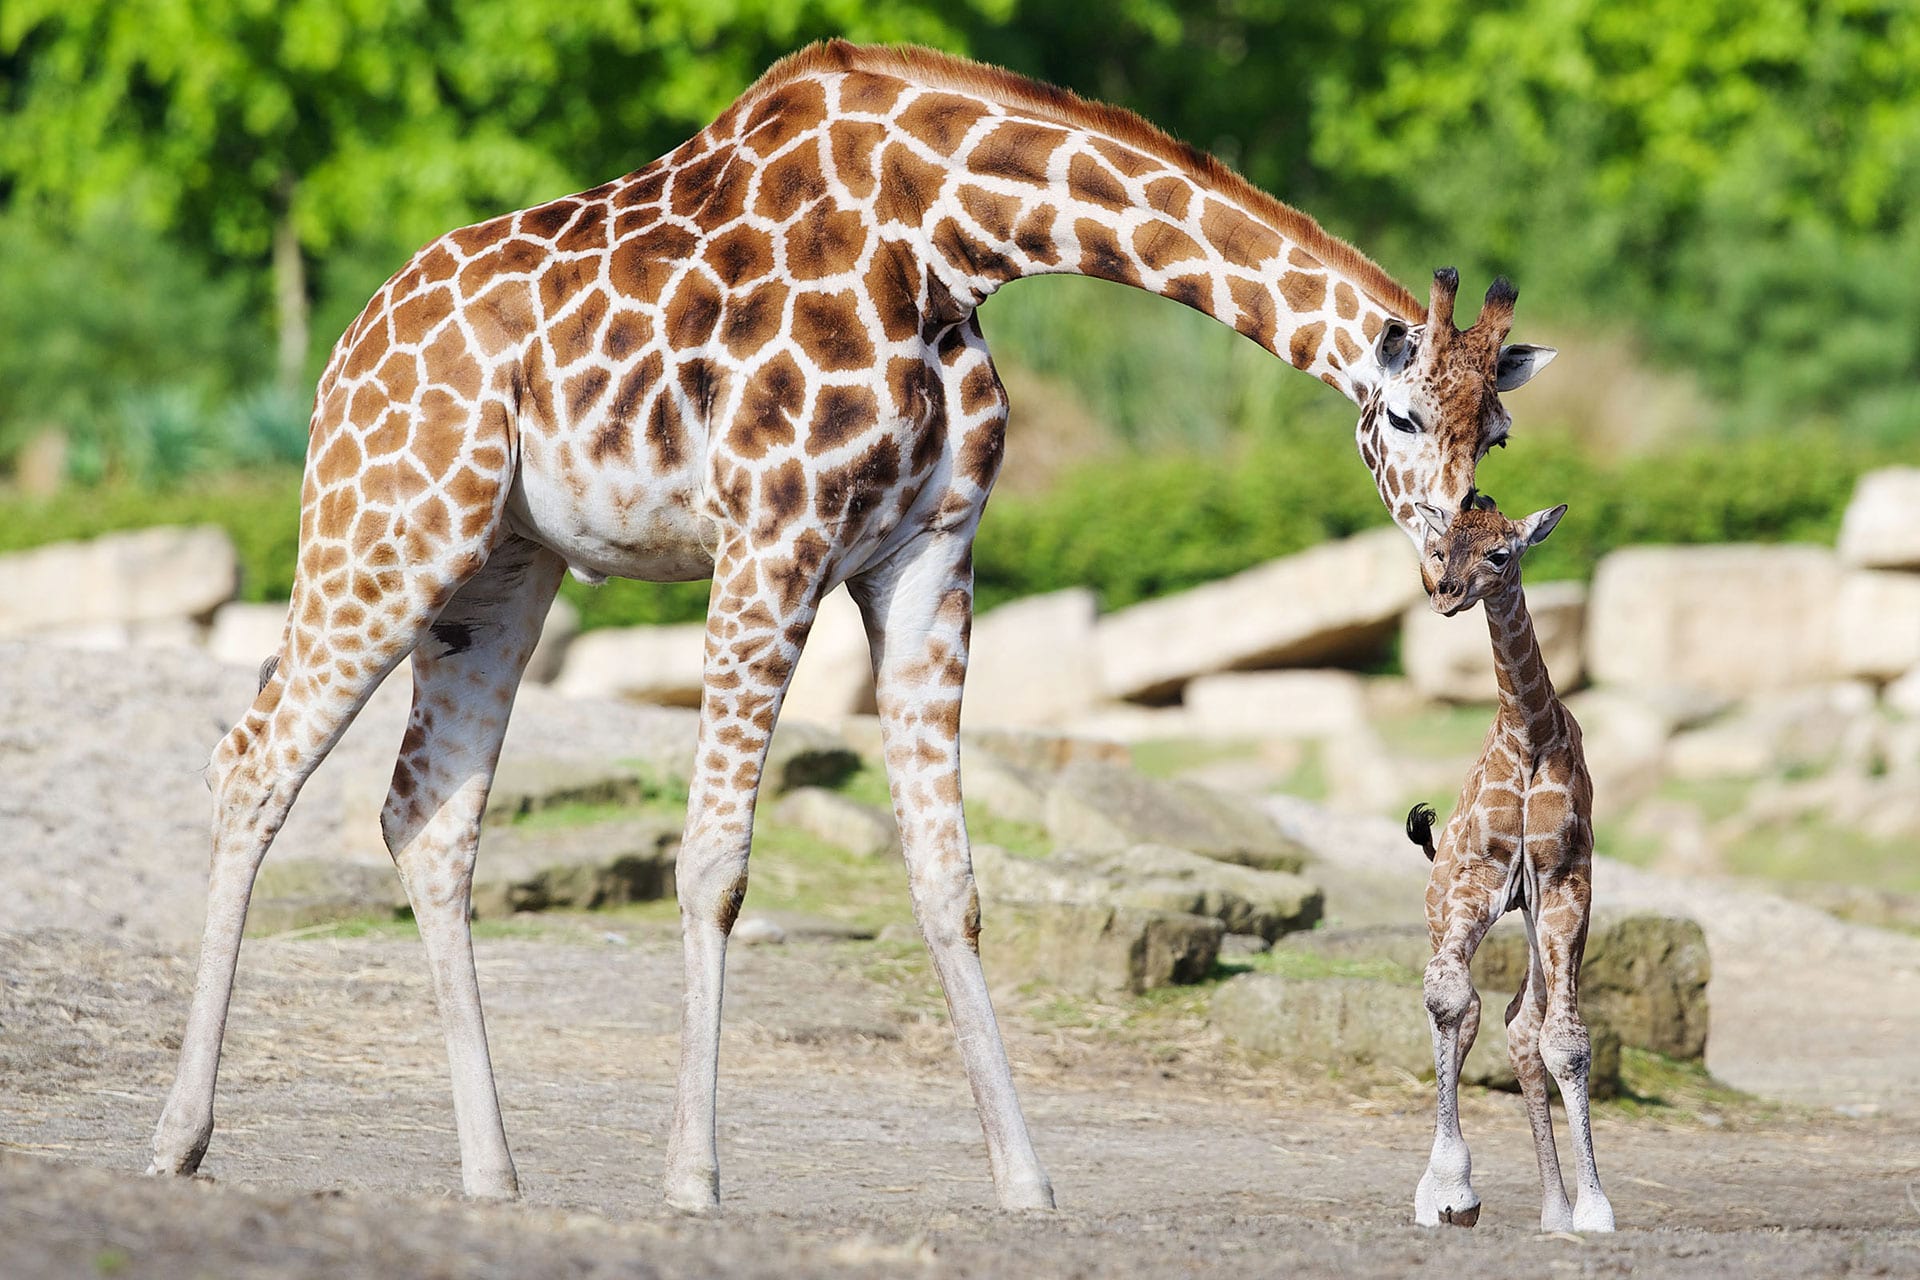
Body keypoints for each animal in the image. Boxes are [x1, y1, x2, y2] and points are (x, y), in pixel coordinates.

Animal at [149, 40, 1559, 1212]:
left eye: (1494, 431)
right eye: (1397, 416)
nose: (1458, 565)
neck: (952, 236)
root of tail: (341, 356)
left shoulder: (928, 556)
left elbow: (949, 876)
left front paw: (1025, 1178)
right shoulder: (770, 539)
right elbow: (714, 863)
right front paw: (695, 1176)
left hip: (504, 564)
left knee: (427, 813)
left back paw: (492, 1171)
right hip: (389, 525)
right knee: (253, 761)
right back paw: (178, 1137)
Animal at [1405, 498, 1612, 1228]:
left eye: (1500, 554)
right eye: (1442, 546)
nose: (1445, 594)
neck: (1527, 734)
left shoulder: (1563, 884)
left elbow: (1566, 1040)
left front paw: (1593, 1211)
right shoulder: (1481, 881)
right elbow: (1448, 997)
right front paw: (1450, 1187)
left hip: (1530, 918)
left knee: (1523, 1024)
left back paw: (1554, 1212)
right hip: (1442, 905)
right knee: (1464, 1008)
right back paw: (1444, 1196)